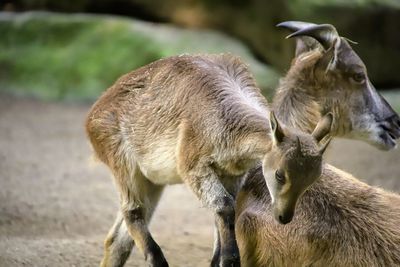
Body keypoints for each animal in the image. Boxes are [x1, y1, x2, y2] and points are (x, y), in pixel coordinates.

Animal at [85, 54, 332, 267]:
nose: (283, 216)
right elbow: (224, 206)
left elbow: (225, 211)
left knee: (119, 238)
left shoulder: (232, 174)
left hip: (152, 182)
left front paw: (219, 260)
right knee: (133, 212)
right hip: (123, 164)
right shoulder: (193, 166)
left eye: (312, 179)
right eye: (280, 174)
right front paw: (230, 260)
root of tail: (91, 118)